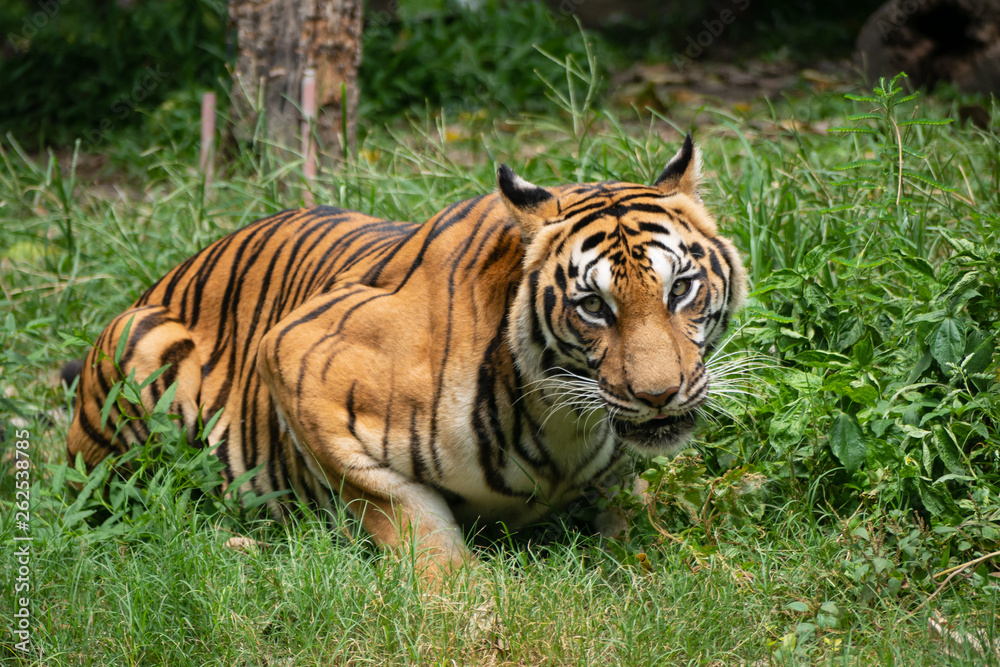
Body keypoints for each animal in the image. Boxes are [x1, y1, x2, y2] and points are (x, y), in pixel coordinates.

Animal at [67, 134, 746, 581]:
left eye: (680, 289)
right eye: (594, 307)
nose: (658, 395)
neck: (563, 425)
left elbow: (651, 526)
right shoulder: (295, 354)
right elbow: (401, 509)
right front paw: (468, 595)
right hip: (138, 354)